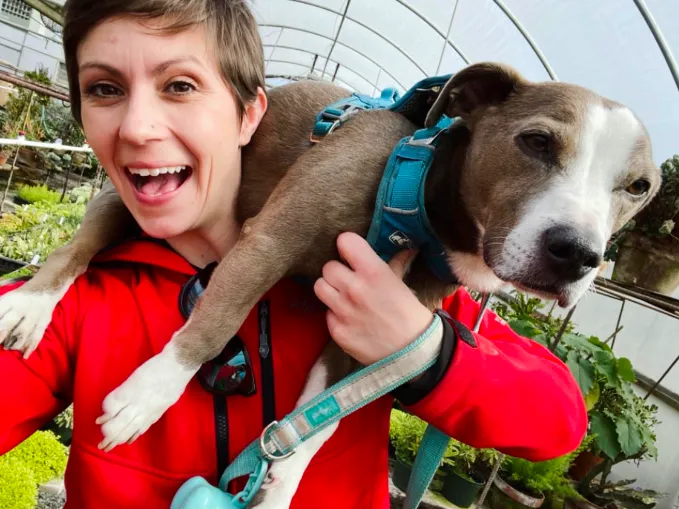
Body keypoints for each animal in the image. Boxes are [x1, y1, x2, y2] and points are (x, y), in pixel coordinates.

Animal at [0, 62, 660, 504]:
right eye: (536, 142)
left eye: (639, 188)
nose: (578, 254)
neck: (423, 210)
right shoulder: (269, 241)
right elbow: (214, 322)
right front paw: (148, 394)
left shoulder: (369, 332)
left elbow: (325, 417)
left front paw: (279, 482)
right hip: (126, 202)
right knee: (76, 248)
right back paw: (29, 306)